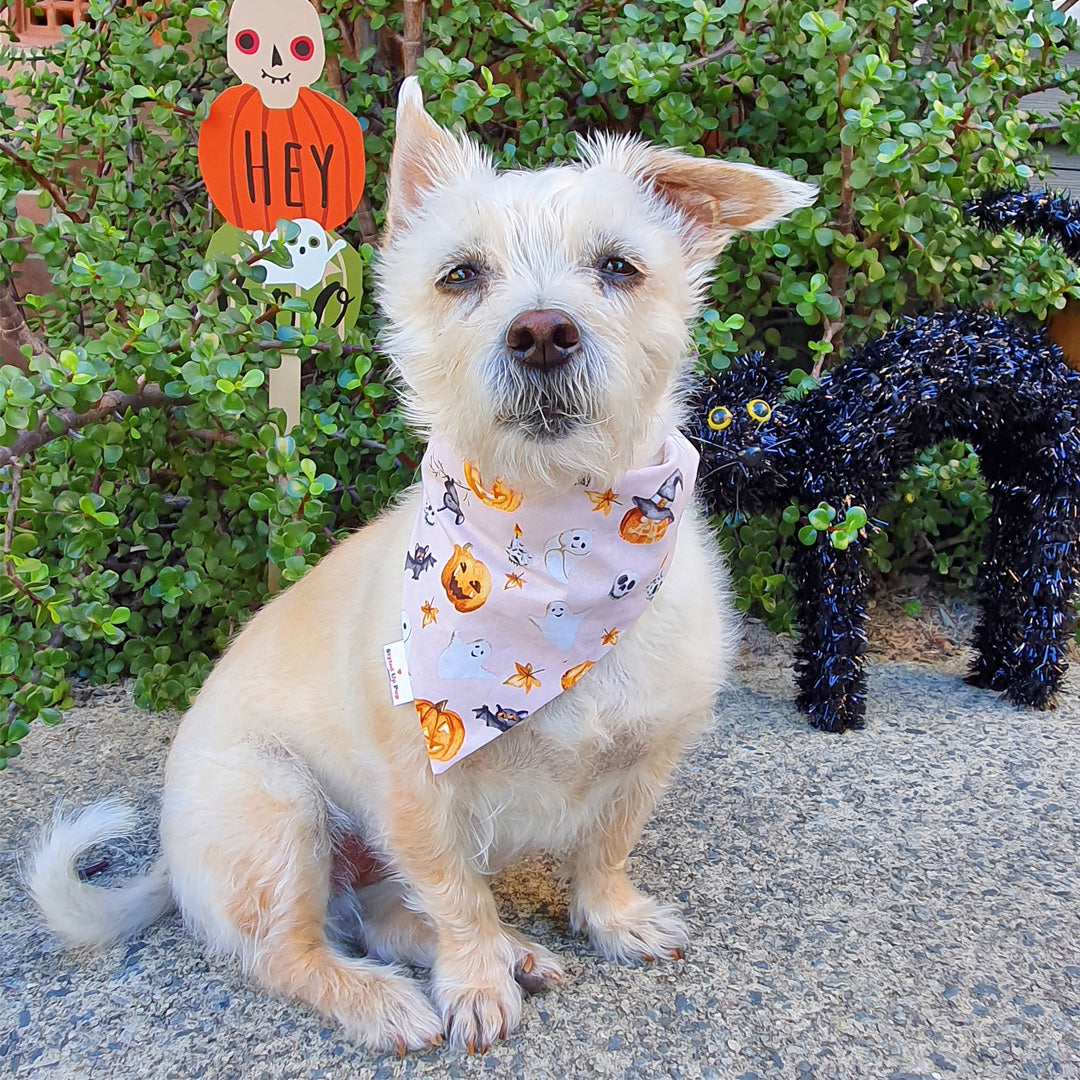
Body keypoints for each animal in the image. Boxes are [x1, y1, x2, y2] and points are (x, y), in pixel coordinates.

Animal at [29, 82, 812, 1054]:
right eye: (460, 275)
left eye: (620, 267)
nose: (542, 331)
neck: (554, 545)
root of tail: (172, 868)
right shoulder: (414, 794)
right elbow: (456, 897)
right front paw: (475, 983)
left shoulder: (643, 761)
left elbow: (602, 853)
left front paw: (609, 921)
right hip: (280, 811)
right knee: (293, 953)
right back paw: (386, 998)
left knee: (381, 913)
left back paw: (513, 950)